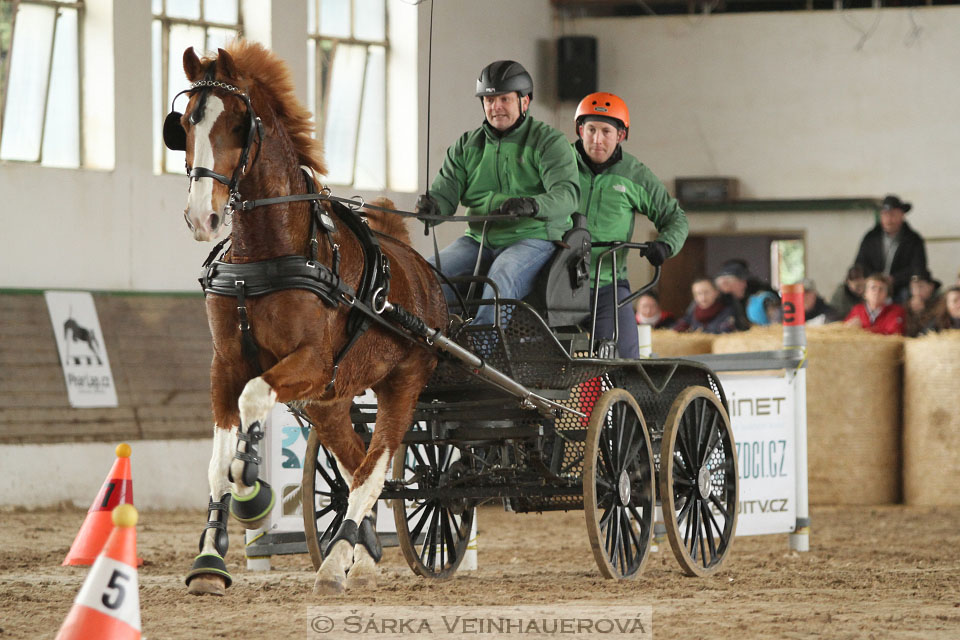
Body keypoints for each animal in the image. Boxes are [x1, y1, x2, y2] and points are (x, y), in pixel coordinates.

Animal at [164, 42, 446, 596]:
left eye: (238, 125)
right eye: (184, 124)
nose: (203, 218)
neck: (265, 255)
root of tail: (419, 270)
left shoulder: (310, 361)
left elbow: (254, 401)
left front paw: (251, 483)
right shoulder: (225, 364)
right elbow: (216, 462)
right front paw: (209, 559)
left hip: (401, 384)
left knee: (375, 467)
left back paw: (336, 561)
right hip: (328, 402)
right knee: (356, 463)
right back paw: (364, 554)